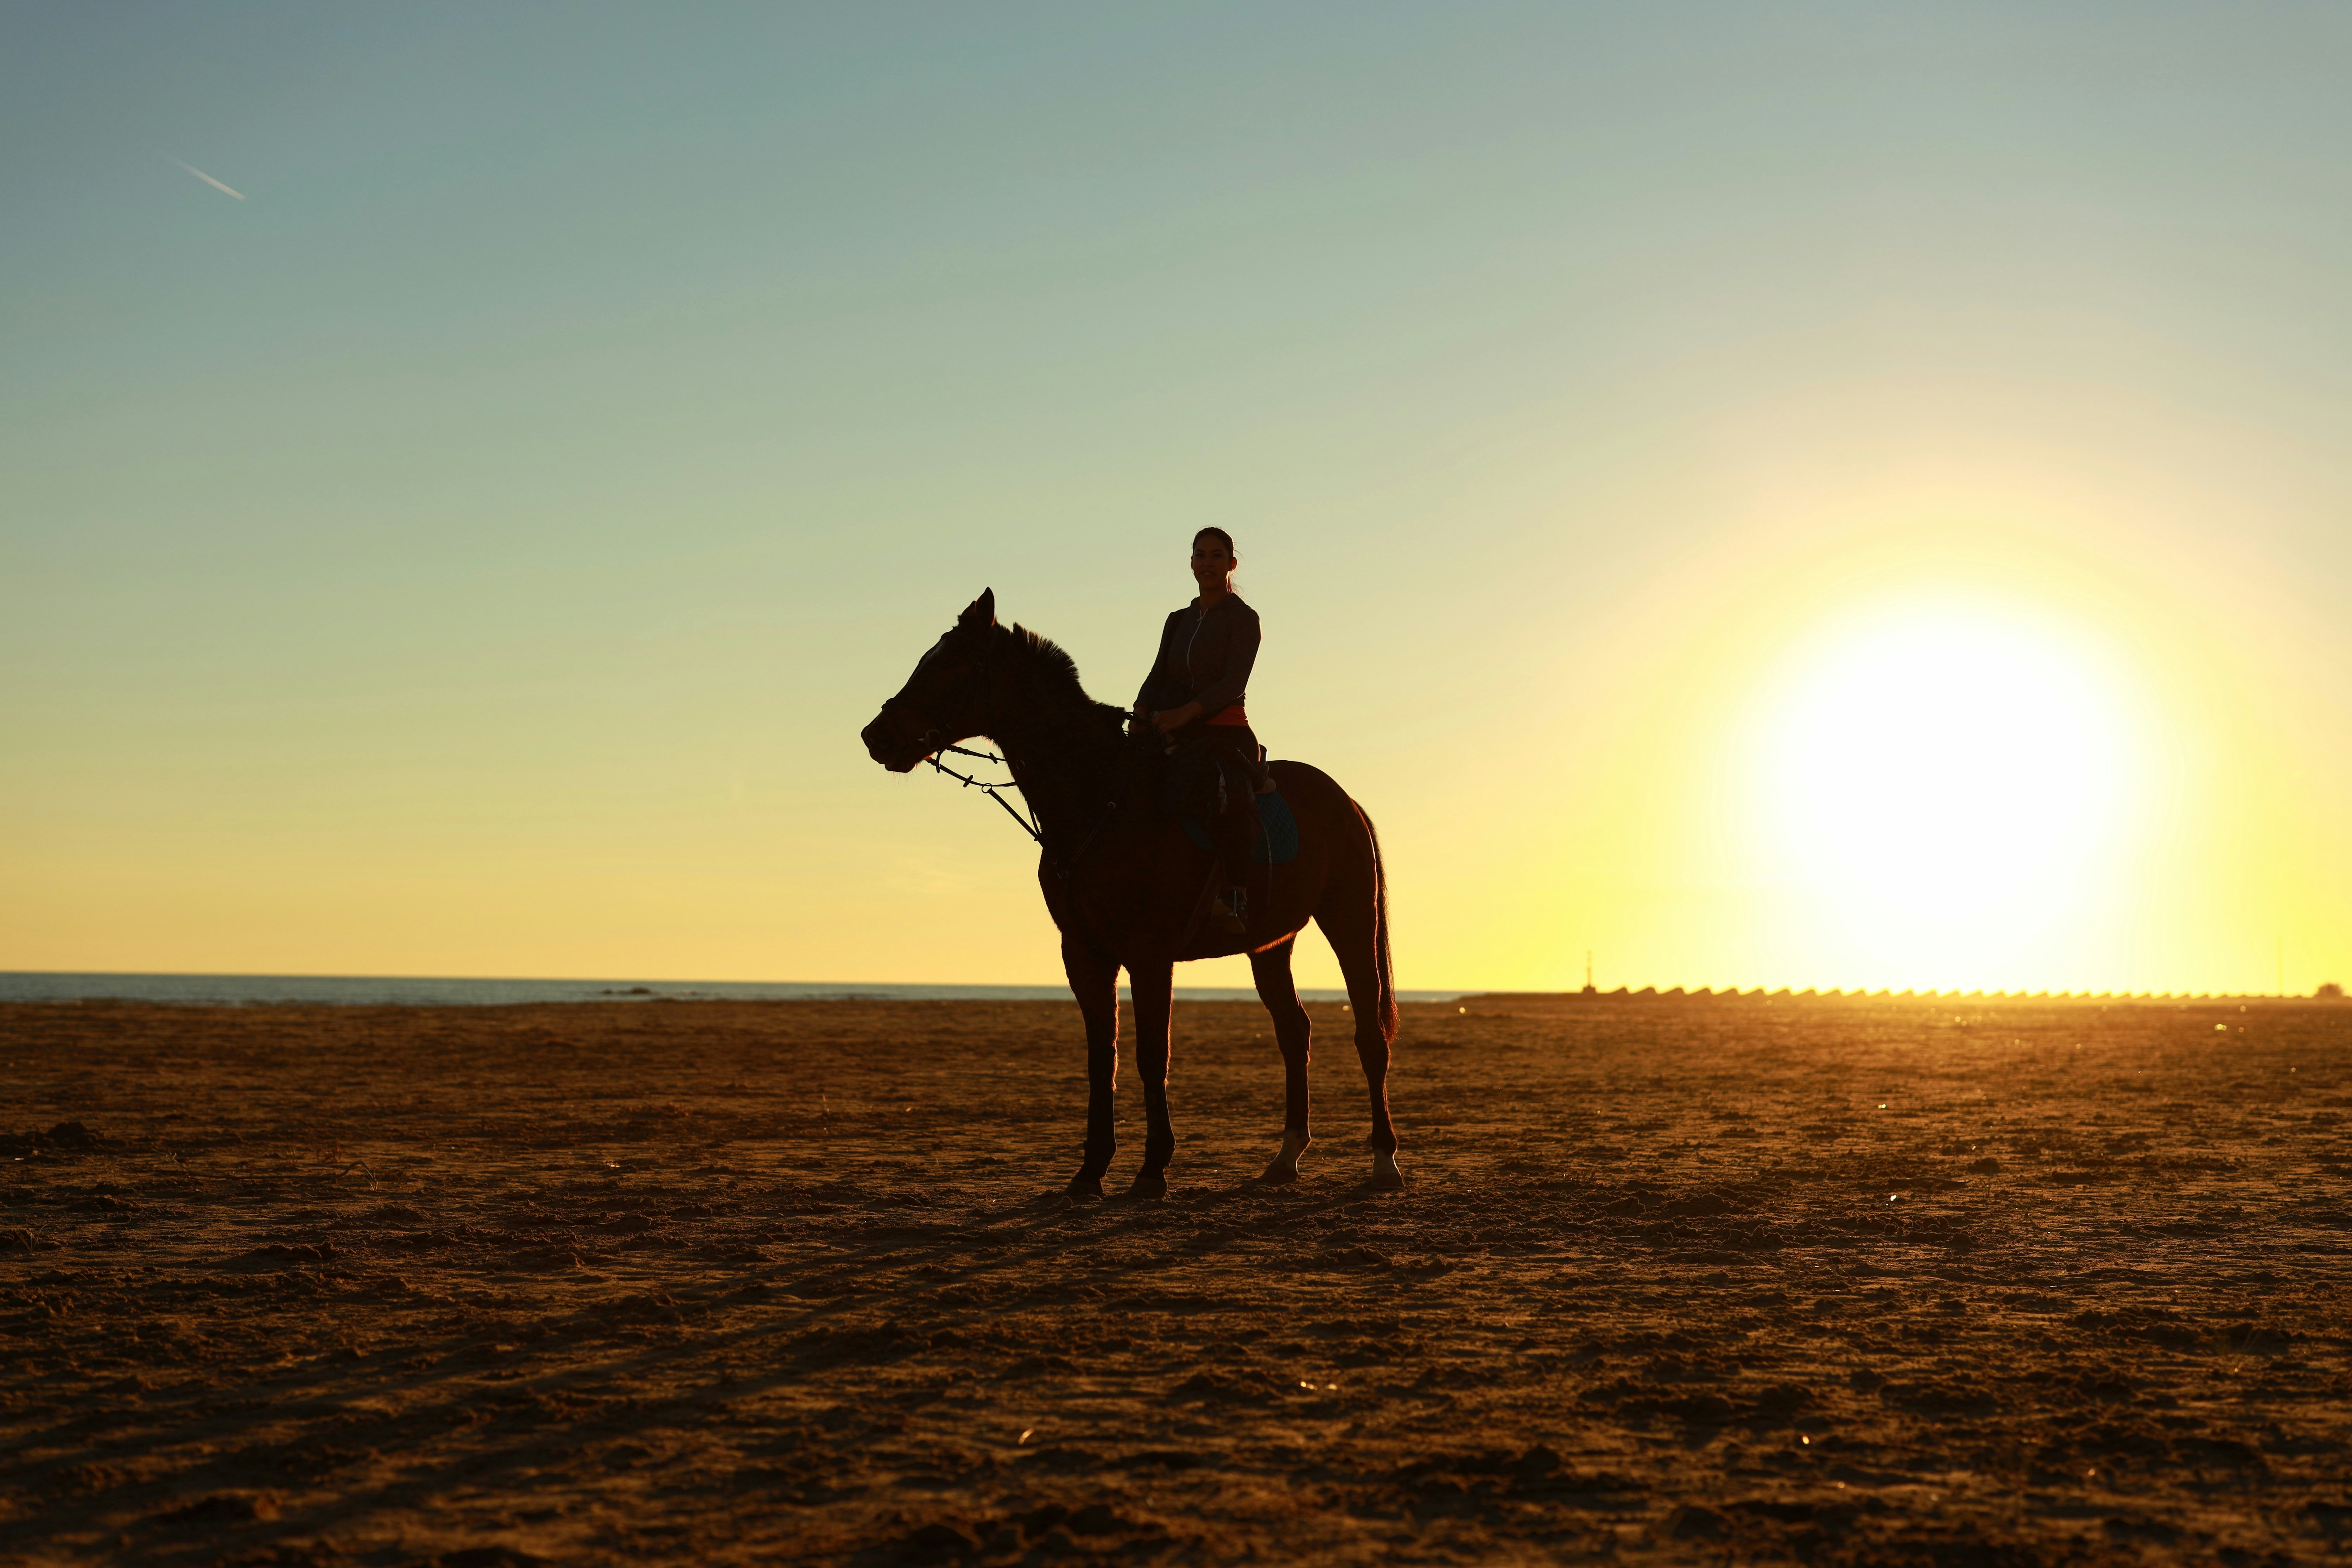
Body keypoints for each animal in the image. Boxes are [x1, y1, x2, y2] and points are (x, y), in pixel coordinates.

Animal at [856, 592, 1392, 1204]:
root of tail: (1345, 801)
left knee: (1369, 1034)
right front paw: (1090, 1170)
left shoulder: (1150, 954)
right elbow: (1102, 1058)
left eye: (949, 665)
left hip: (1351, 921)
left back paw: (1384, 1161)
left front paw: (1153, 1168)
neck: (1100, 799)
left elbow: (1150, 1055)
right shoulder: (1085, 954)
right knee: (1293, 1031)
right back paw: (1286, 1156)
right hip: (1270, 944)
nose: (876, 735)